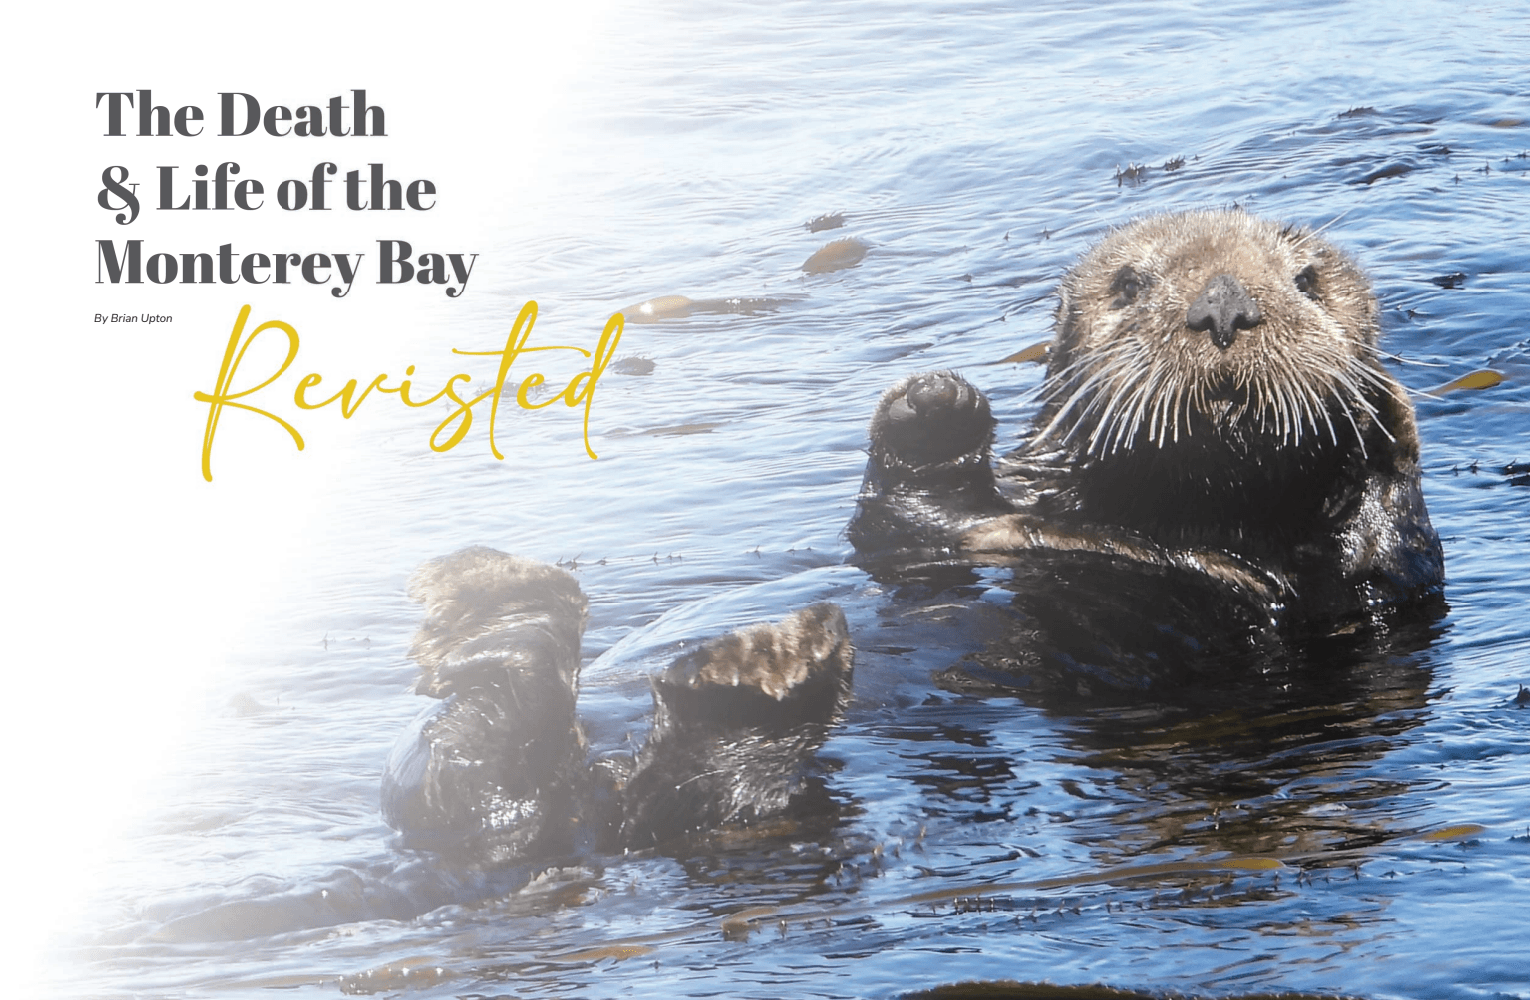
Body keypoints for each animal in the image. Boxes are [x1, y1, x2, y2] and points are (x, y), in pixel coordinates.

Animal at [849, 210, 1444, 624]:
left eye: (1306, 281)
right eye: (1129, 284)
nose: (1224, 305)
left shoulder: (1379, 587)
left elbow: (1396, 557)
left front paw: (1382, 410)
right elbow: (893, 527)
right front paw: (934, 408)